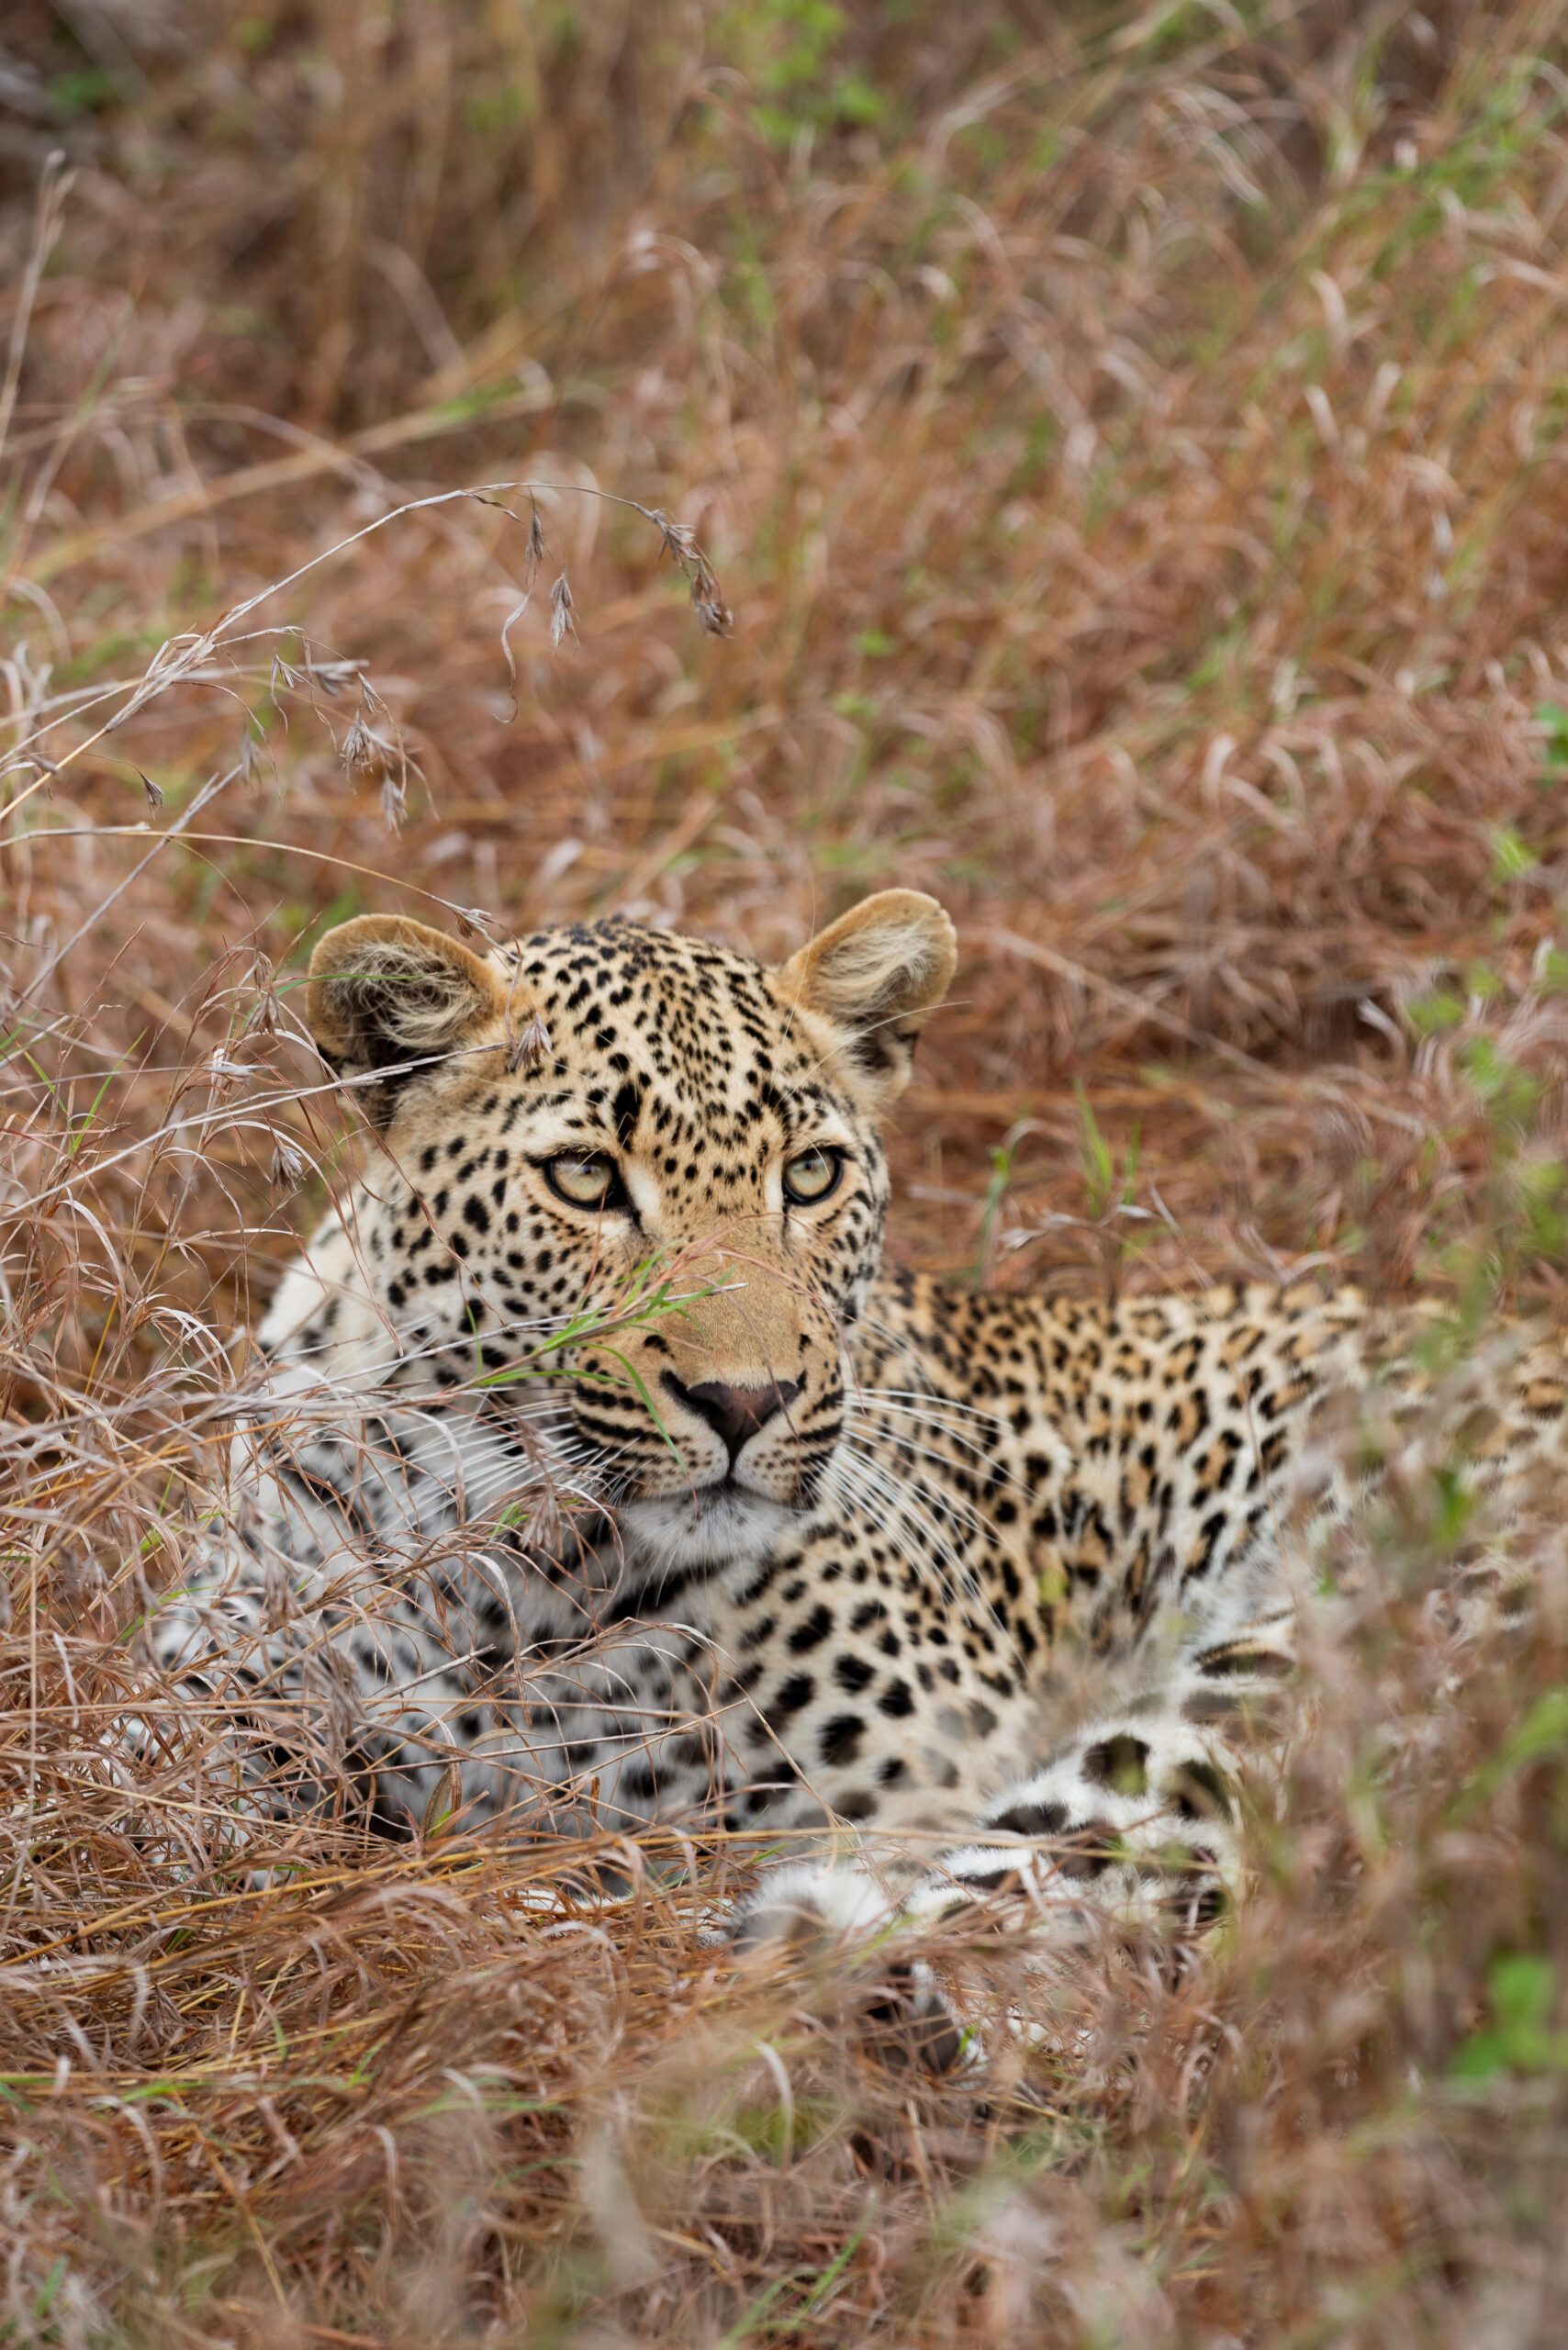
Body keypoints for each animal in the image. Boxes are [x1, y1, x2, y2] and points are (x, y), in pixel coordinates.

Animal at [135, 888, 1568, 1974]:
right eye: (587, 1179)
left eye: (809, 1175)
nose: (745, 1400)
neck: (513, 1586)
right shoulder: (226, 1662)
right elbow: (152, 1776)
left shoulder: (920, 1770)